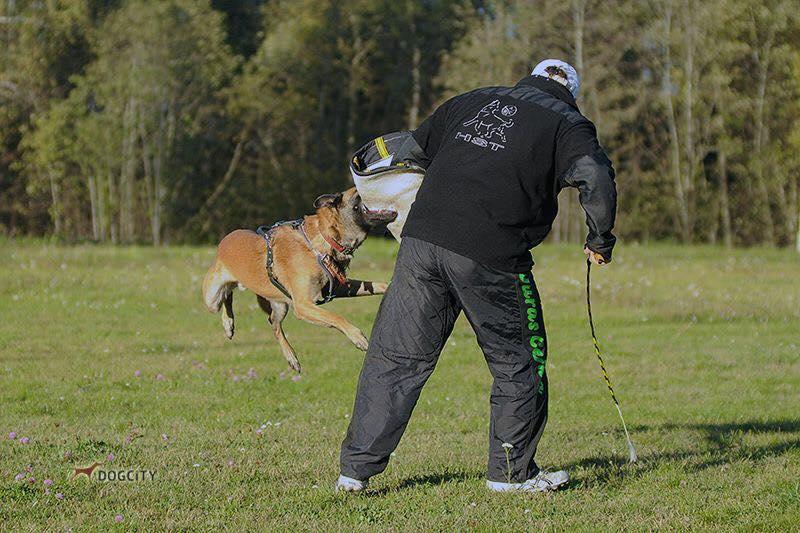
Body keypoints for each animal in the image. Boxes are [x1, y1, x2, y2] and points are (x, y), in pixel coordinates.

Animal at [203, 187, 396, 370]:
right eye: (358, 193)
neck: (323, 238)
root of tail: (226, 239)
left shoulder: (340, 287)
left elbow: (377, 285)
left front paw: (391, 287)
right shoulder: (303, 305)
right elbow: (336, 318)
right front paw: (357, 337)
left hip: (280, 305)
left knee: (272, 322)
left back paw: (290, 357)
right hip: (212, 299)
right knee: (225, 296)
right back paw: (228, 323)